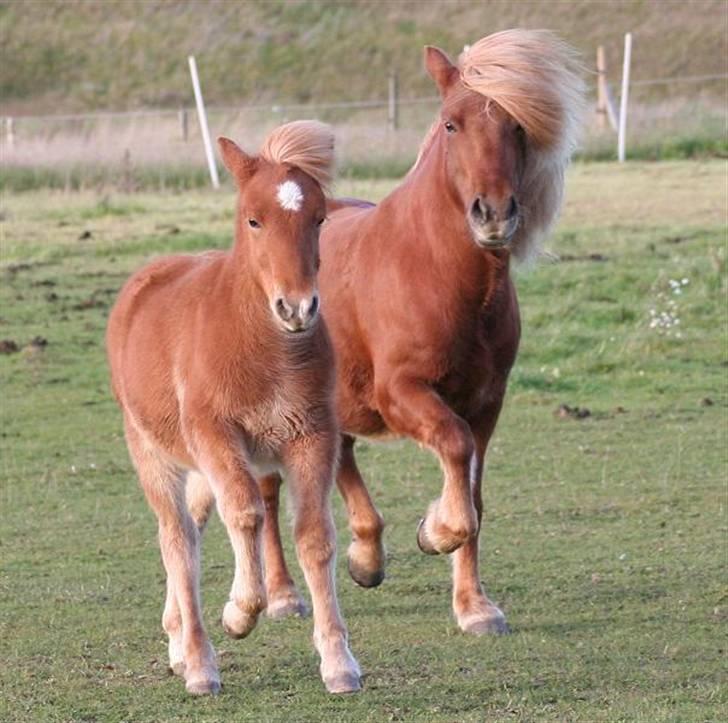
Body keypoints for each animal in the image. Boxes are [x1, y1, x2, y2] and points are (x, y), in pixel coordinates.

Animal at [105, 121, 362, 700]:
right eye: (254, 219)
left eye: (319, 218)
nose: (298, 307)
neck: (267, 351)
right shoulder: (216, 434)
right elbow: (245, 513)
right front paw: (241, 612)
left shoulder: (313, 436)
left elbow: (315, 537)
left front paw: (339, 661)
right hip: (154, 451)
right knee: (177, 539)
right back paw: (198, 662)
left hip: (201, 464)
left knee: (196, 523)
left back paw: (179, 642)